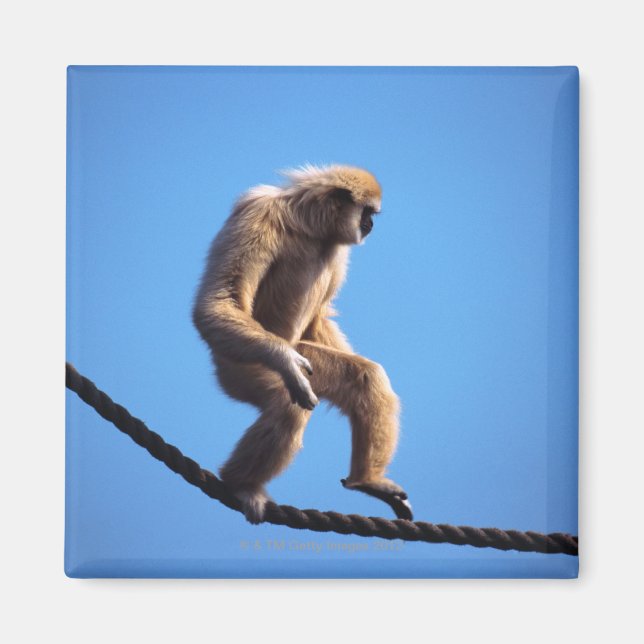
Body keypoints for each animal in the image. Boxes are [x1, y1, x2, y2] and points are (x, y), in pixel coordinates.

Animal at [192, 164, 412, 524]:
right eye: (367, 213)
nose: (370, 225)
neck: (307, 225)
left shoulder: (337, 249)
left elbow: (319, 318)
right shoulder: (257, 212)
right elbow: (218, 302)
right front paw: (285, 361)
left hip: (298, 355)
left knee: (366, 378)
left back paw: (367, 481)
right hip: (238, 362)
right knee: (288, 405)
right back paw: (240, 484)